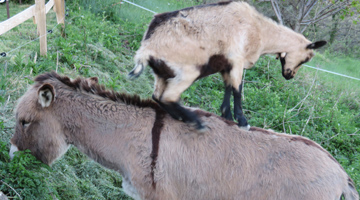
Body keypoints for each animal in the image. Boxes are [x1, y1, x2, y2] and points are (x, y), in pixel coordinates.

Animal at [129, 1, 326, 130]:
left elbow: (228, 88)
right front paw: (242, 121)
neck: (259, 29)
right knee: (168, 97)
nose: (289, 75)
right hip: (188, 71)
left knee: (157, 96)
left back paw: (182, 117)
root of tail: (146, 48)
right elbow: (238, 90)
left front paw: (227, 115)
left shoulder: (226, 66)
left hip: (163, 74)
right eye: (306, 58)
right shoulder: (237, 60)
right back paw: (195, 122)